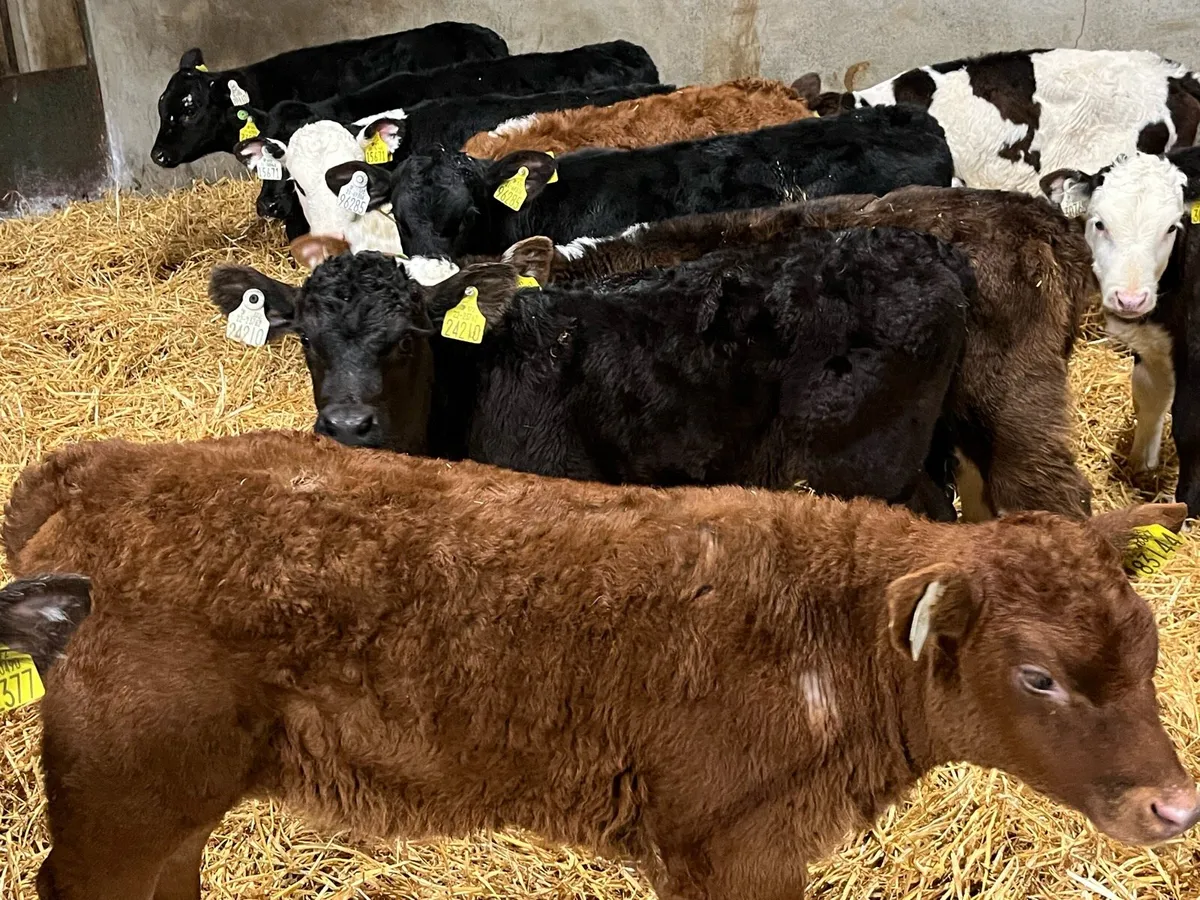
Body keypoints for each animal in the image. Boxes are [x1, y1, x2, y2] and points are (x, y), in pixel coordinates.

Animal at [3, 431, 1195, 900]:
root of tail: (107, 466)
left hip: (171, 803)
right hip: (122, 794)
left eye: (1146, 649)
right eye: (1038, 677)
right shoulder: (731, 846)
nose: (1174, 807)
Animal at [1041, 148, 1200, 512]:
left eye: (1171, 227)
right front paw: (1142, 465)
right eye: (1100, 223)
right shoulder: (1154, 342)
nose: (1130, 299)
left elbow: (1189, 425)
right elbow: (1148, 394)